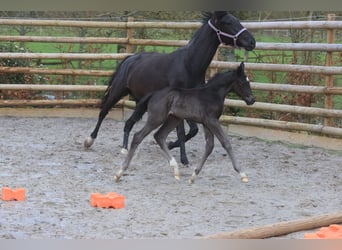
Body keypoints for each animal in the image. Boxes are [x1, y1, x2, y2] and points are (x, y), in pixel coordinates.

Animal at [82, 11, 254, 166]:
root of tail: (129, 59)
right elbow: (182, 131)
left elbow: (192, 131)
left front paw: (171, 145)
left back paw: (125, 148)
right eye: (228, 23)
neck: (189, 64)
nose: (252, 42)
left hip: (139, 100)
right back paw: (90, 140)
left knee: (130, 122)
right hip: (118, 91)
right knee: (104, 111)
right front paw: (183, 159)